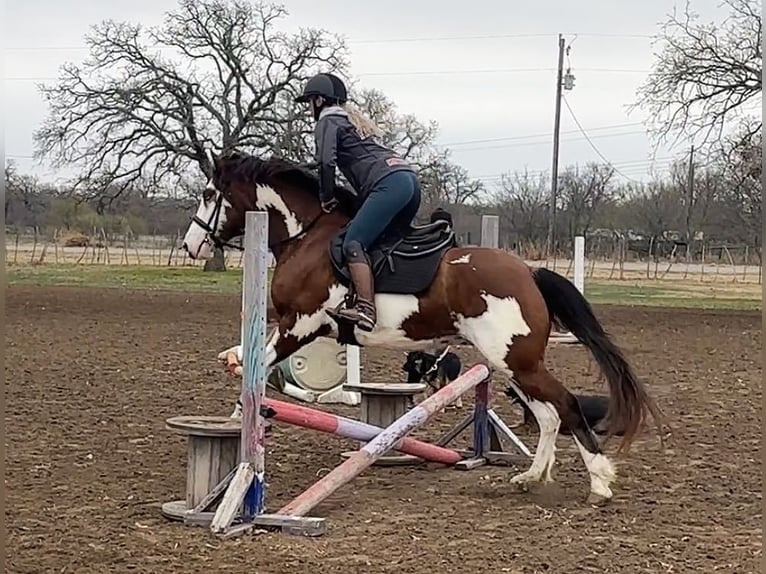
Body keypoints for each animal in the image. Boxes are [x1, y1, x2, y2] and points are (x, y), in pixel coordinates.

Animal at [182, 151, 664, 506]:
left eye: (208, 192)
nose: (190, 245)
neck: (308, 237)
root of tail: (528, 272)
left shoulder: (301, 324)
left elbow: (258, 362)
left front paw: (240, 401)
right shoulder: (293, 324)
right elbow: (253, 357)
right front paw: (237, 406)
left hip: (516, 360)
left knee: (565, 405)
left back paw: (599, 483)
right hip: (507, 363)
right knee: (548, 414)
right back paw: (530, 477)